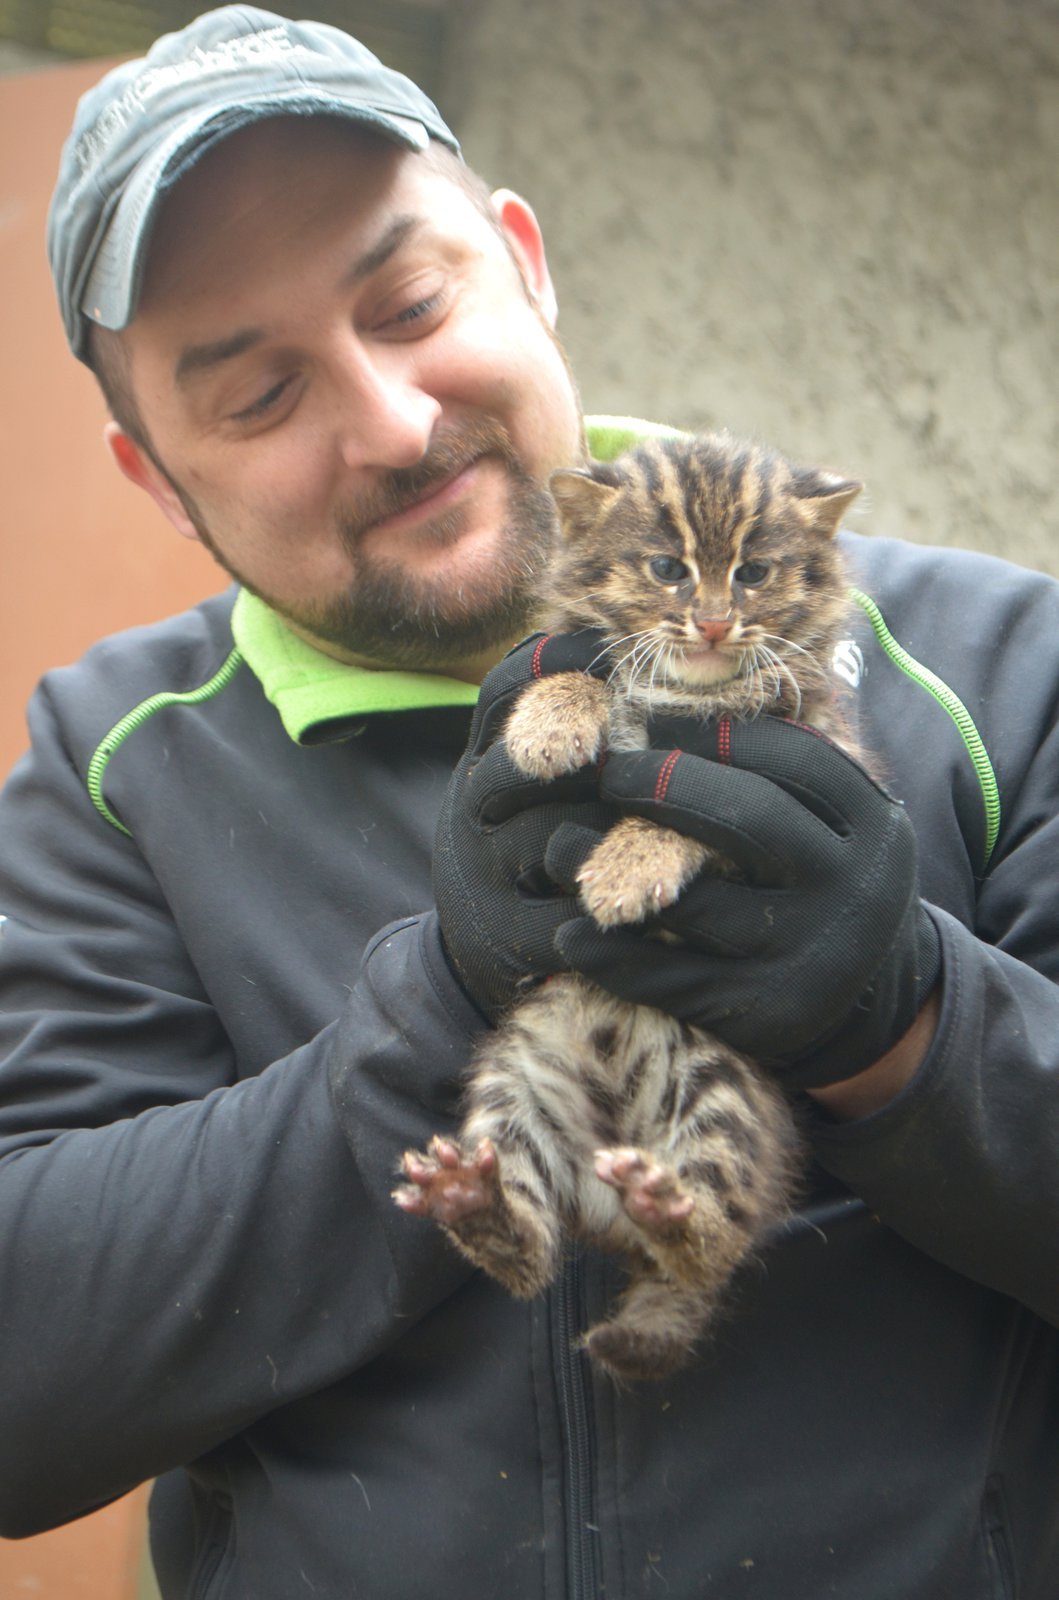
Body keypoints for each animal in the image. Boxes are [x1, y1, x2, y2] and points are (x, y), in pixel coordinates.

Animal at [393, 432, 870, 1382]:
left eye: (753, 573)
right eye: (666, 569)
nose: (715, 623)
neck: (689, 693)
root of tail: (610, 1200)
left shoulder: (802, 769)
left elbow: (689, 804)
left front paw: (626, 865)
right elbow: (581, 666)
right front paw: (547, 723)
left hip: (722, 1094)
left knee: (711, 1242)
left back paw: (672, 1210)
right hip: (511, 1090)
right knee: (532, 1251)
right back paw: (475, 1200)